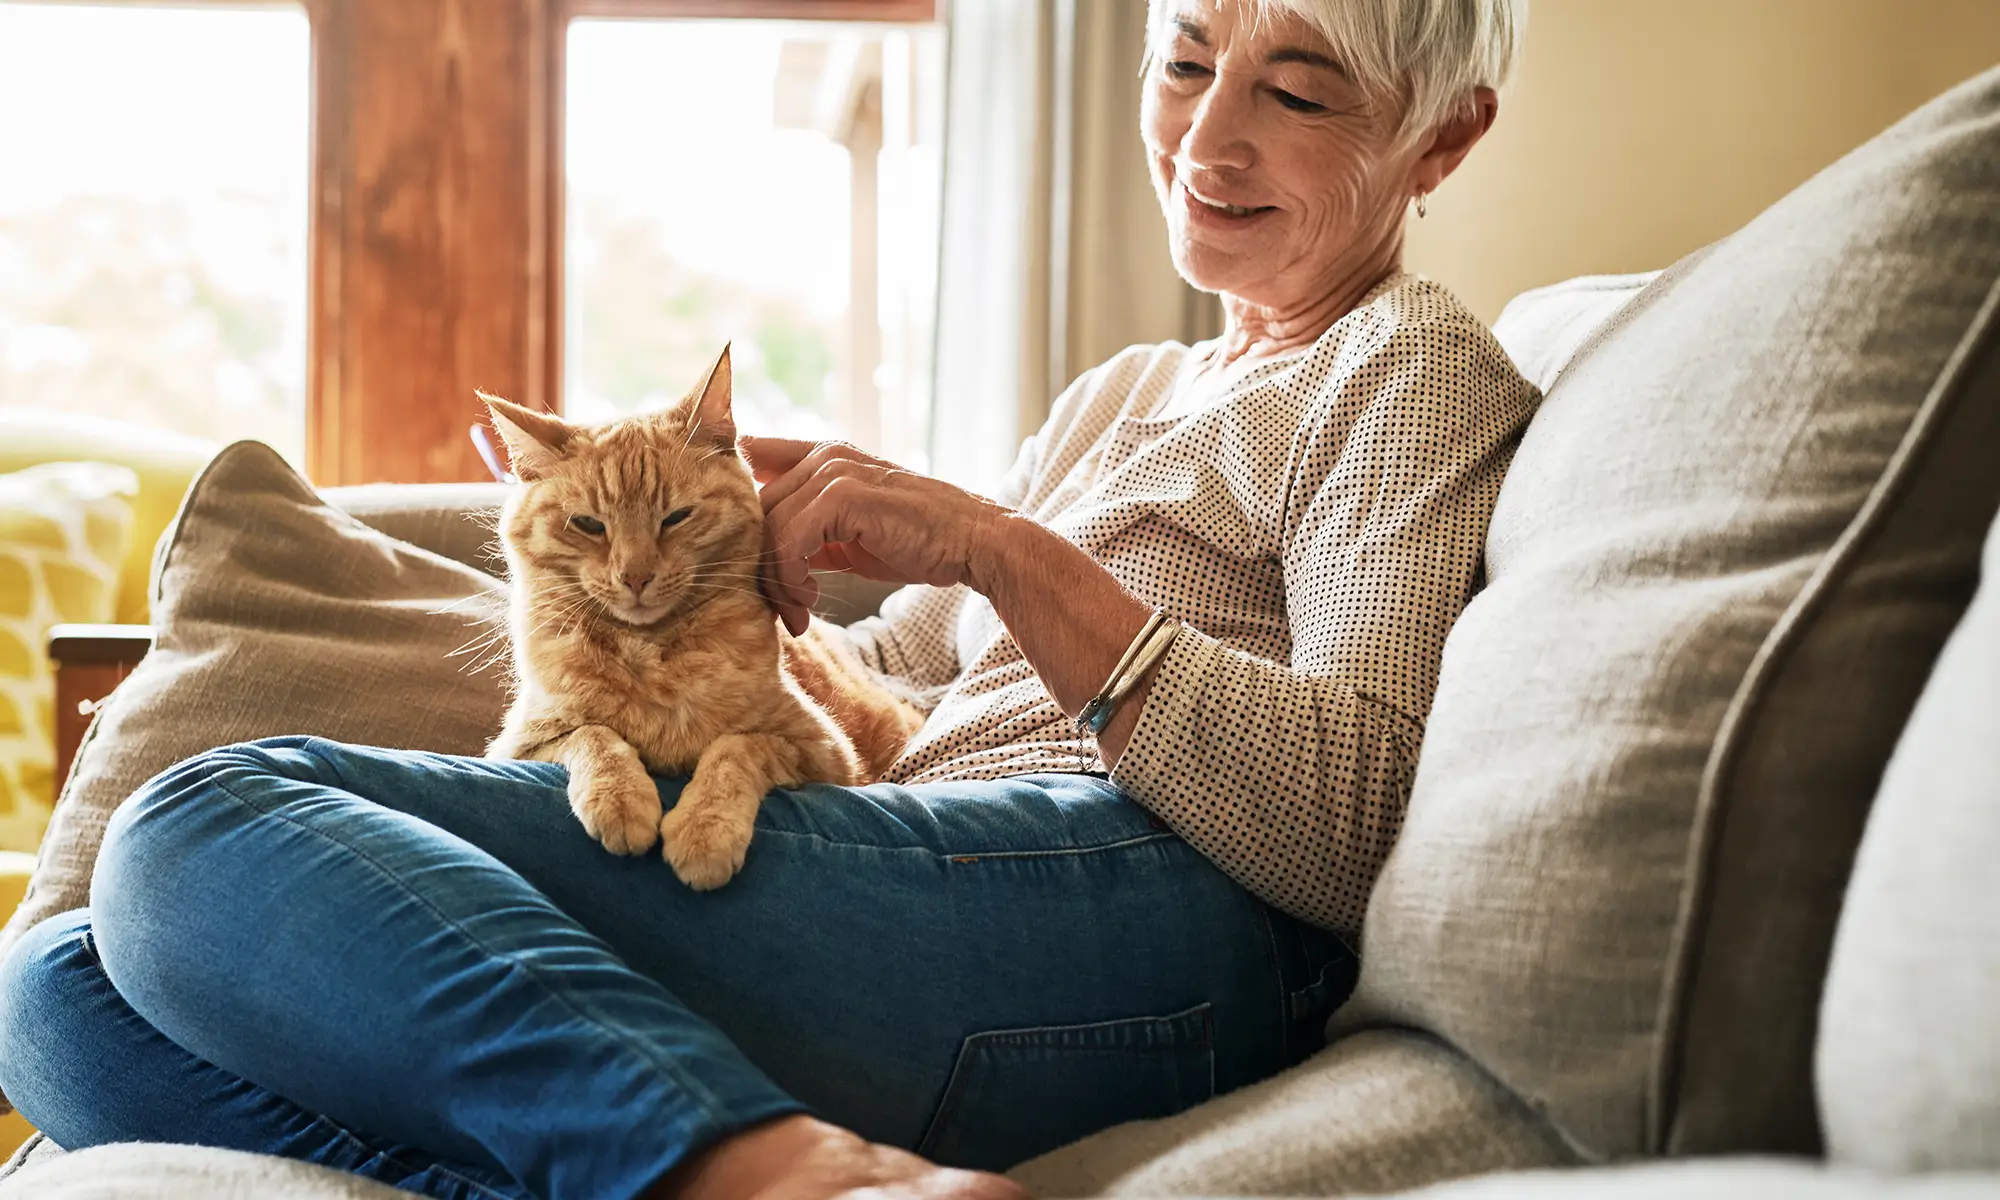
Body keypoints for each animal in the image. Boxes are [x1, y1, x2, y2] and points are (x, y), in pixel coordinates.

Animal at [484, 346, 920, 892]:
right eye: (587, 524)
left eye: (676, 517)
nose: (635, 576)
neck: (653, 656)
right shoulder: (522, 743)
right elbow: (594, 735)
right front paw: (620, 799)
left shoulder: (824, 753)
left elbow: (735, 748)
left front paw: (704, 831)